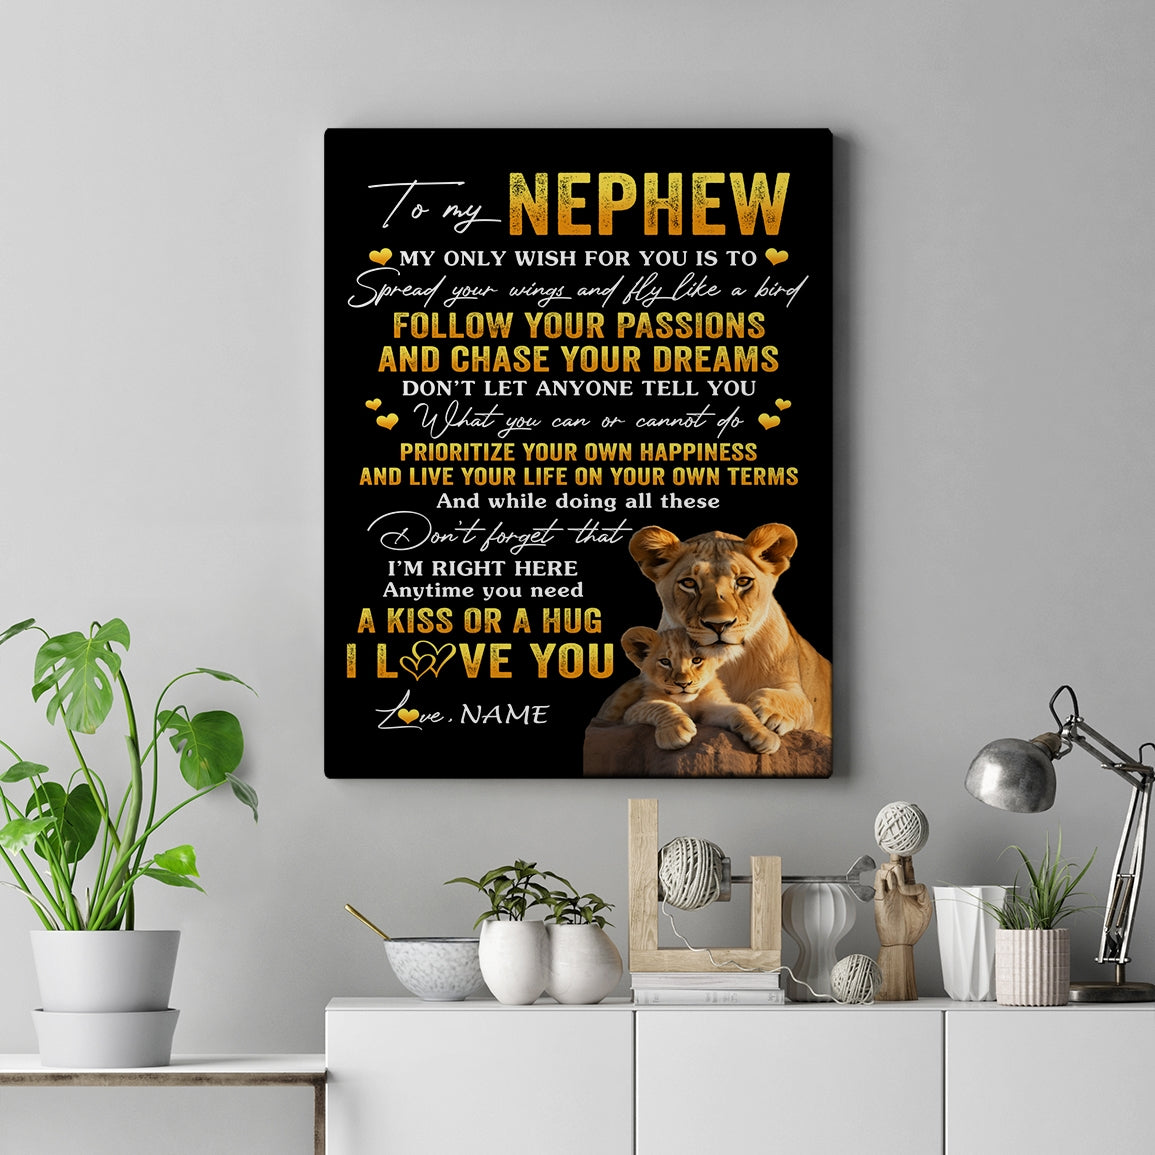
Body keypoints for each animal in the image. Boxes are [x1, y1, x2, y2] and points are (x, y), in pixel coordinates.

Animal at [598, 523, 832, 738]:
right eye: (689, 583)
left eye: (743, 581)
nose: (718, 624)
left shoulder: (794, 689)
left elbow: (795, 703)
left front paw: (765, 710)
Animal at [619, 626, 780, 754]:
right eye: (665, 662)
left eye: (696, 660)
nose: (683, 684)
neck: (688, 702)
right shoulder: (631, 712)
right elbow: (661, 706)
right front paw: (675, 731)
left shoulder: (709, 711)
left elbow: (741, 709)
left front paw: (765, 735)